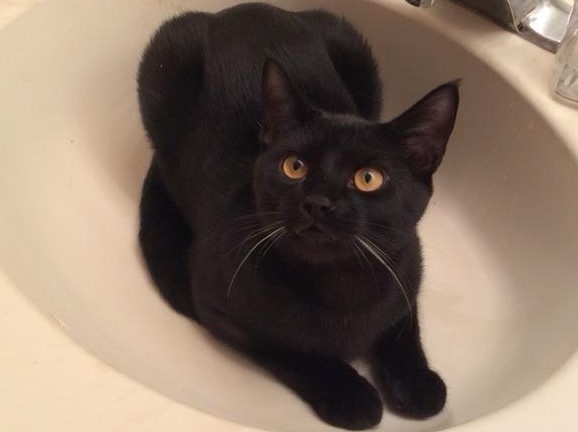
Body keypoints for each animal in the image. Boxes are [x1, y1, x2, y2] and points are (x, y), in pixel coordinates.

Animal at [137, 3, 459, 430]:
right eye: (294, 166)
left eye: (369, 178)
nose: (318, 202)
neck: (341, 285)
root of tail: (243, 9)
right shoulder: (215, 306)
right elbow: (290, 349)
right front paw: (351, 395)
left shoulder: (406, 267)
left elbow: (402, 324)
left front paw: (417, 382)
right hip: (163, 57)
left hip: (357, 53)